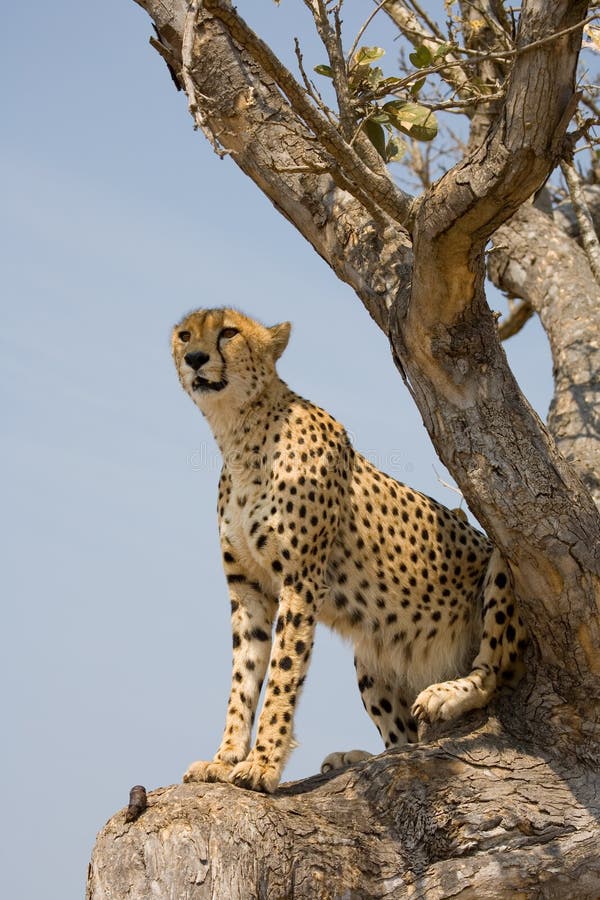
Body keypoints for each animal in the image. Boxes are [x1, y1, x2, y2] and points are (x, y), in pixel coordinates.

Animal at [171, 310, 528, 796]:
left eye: (229, 332)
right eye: (184, 334)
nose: (195, 357)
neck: (240, 433)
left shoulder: (300, 582)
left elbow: (282, 674)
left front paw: (263, 764)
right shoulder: (248, 590)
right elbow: (243, 677)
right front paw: (224, 758)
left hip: (502, 561)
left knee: (493, 668)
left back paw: (448, 694)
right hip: (372, 650)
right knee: (404, 739)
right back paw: (358, 756)